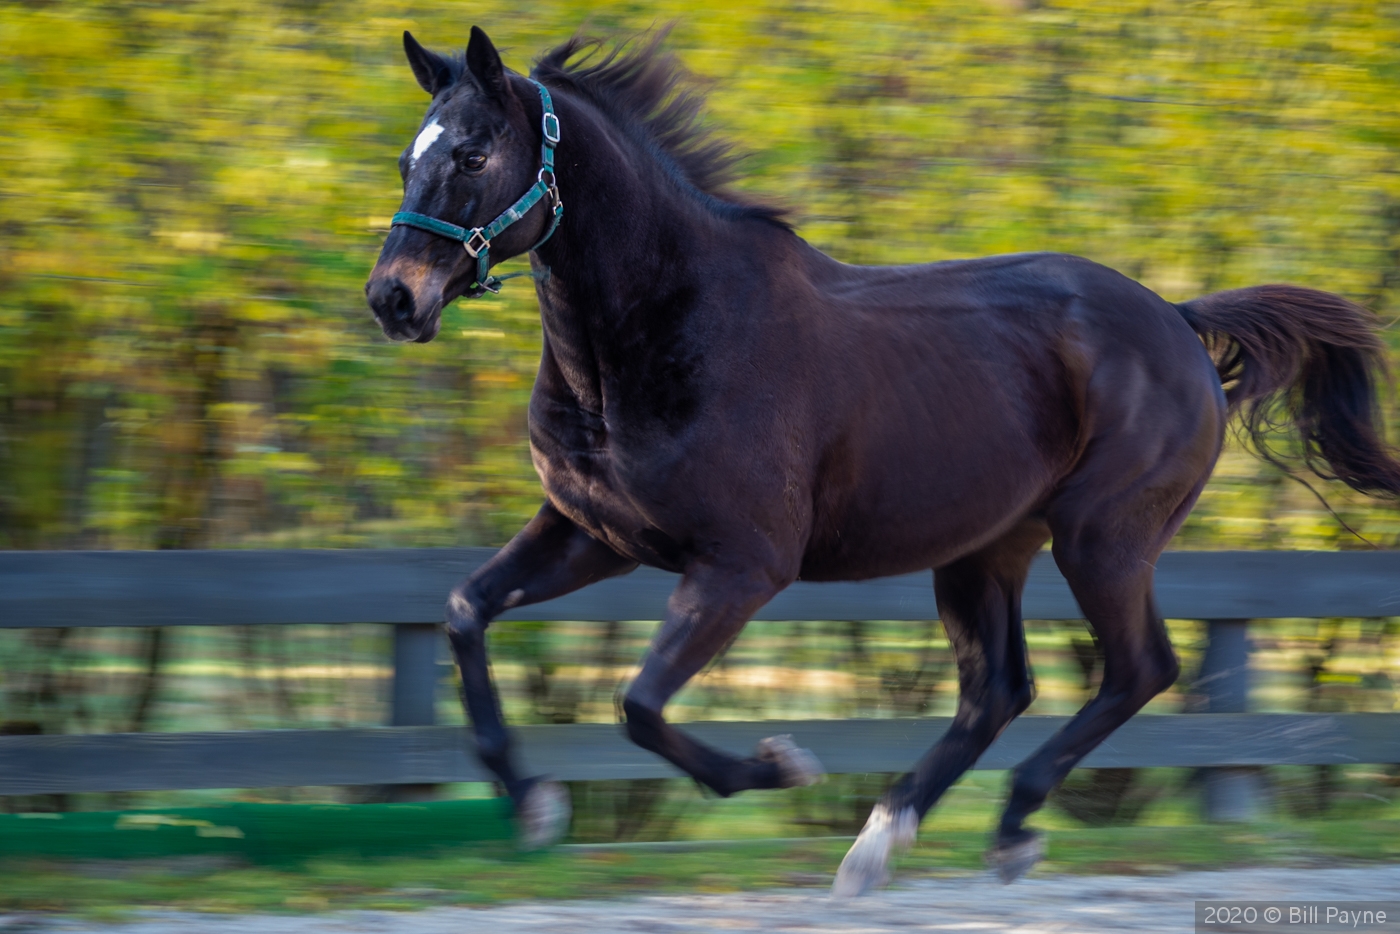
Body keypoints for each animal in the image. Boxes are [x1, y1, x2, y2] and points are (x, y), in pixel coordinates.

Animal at [364, 25, 1400, 896]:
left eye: (471, 155)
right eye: (409, 157)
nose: (393, 299)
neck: (661, 335)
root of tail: (1179, 320)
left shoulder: (742, 564)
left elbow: (640, 705)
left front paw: (778, 765)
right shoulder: (595, 536)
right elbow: (466, 612)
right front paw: (535, 803)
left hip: (1103, 537)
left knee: (1137, 669)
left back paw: (1001, 825)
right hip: (986, 550)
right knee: (1000, 689)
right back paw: (886, 840)